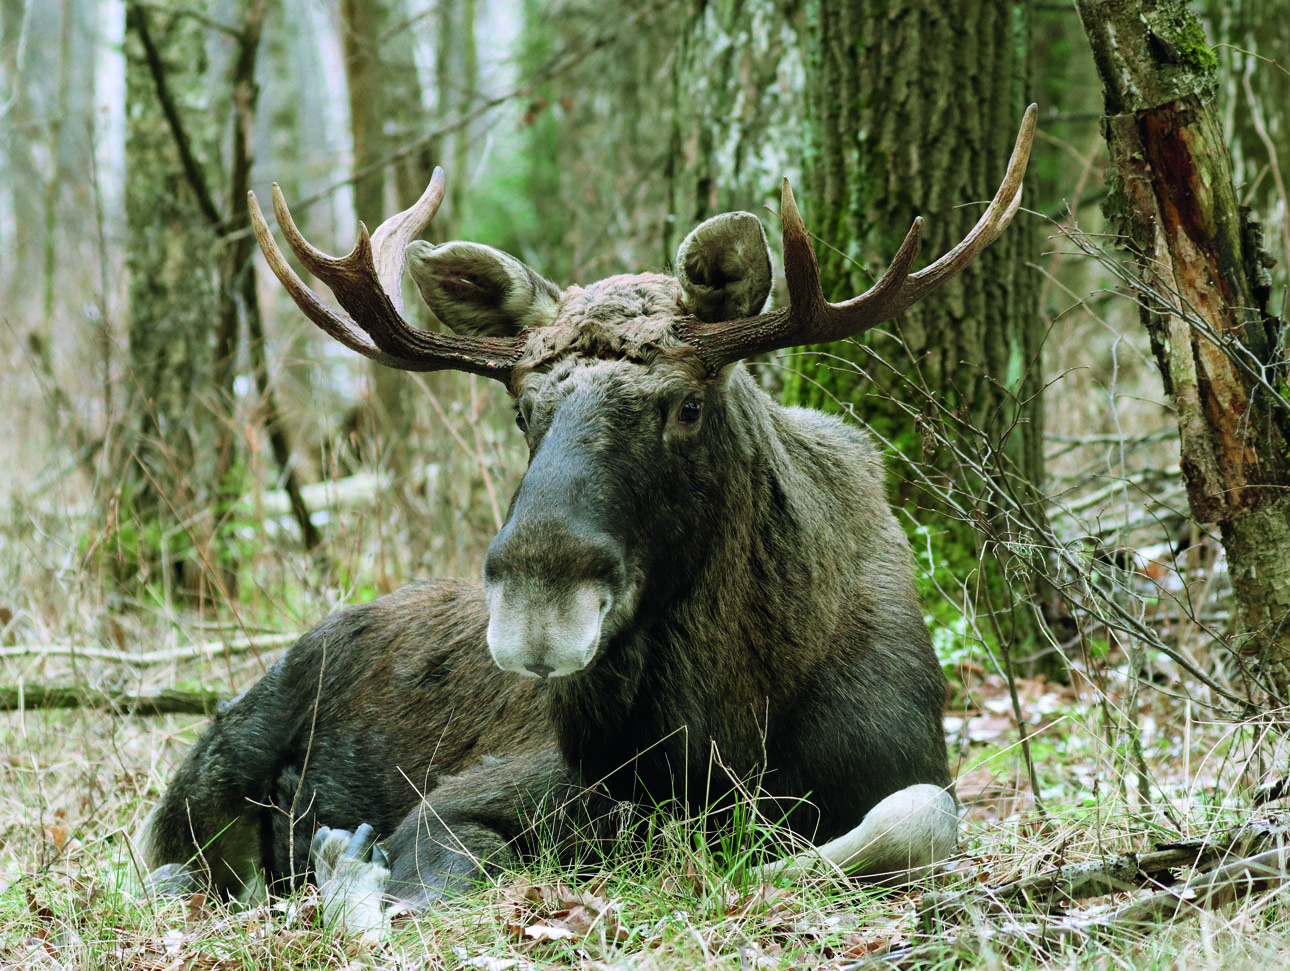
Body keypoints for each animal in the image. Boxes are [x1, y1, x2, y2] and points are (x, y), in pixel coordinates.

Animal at [136, 105, 1032, 933]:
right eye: (522, 409)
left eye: (689, 404)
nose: (538, 608)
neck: (731, 726)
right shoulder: (459, 797)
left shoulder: (910, 762)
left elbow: (917, 815)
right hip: (222, 757)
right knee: (166, 850)